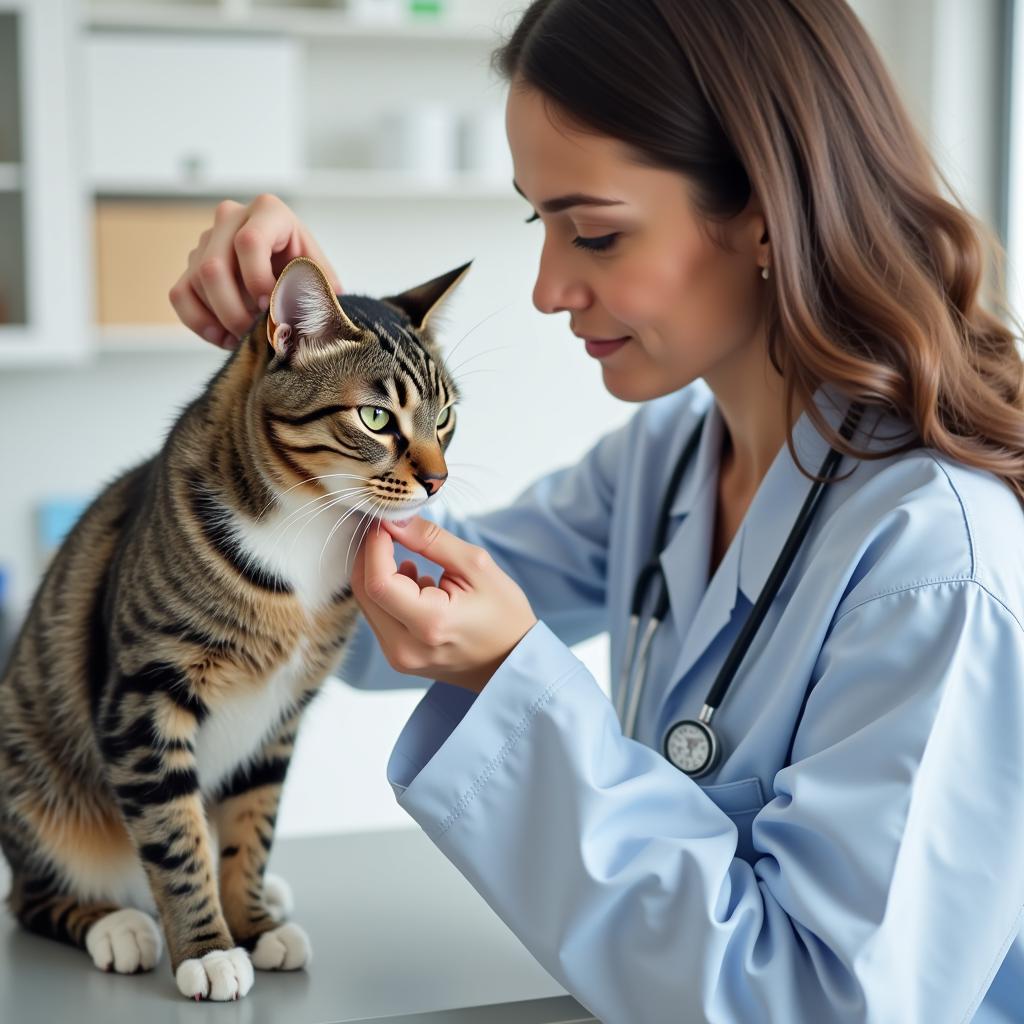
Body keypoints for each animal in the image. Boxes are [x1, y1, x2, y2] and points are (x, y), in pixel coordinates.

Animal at [0, 256, 468, 999]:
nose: (438, 480)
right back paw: (118, 925)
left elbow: (253, 822)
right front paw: (209, 949)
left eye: (445, 417)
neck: (305, 529)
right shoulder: (146, 695)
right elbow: (174, 831)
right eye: (375, 416)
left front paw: (251, 922)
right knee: (33, 896)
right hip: (31, 776)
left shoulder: (279, 714)